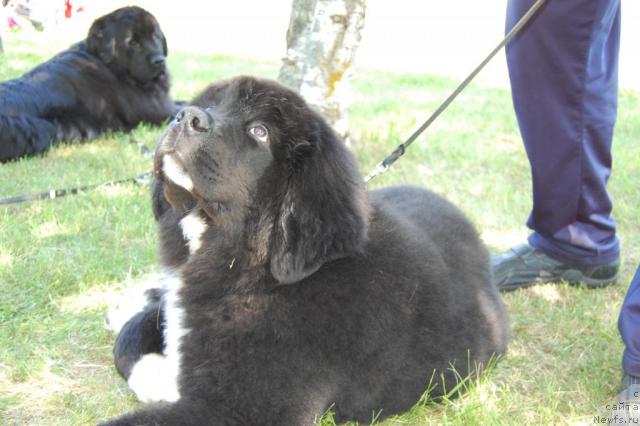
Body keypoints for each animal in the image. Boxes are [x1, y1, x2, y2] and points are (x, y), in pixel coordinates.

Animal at [102, 76, 508, 426]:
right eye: (211, 103)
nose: (186, 116)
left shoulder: (241, 409)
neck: (257, 262)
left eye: (260, 131)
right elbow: (136, 335)